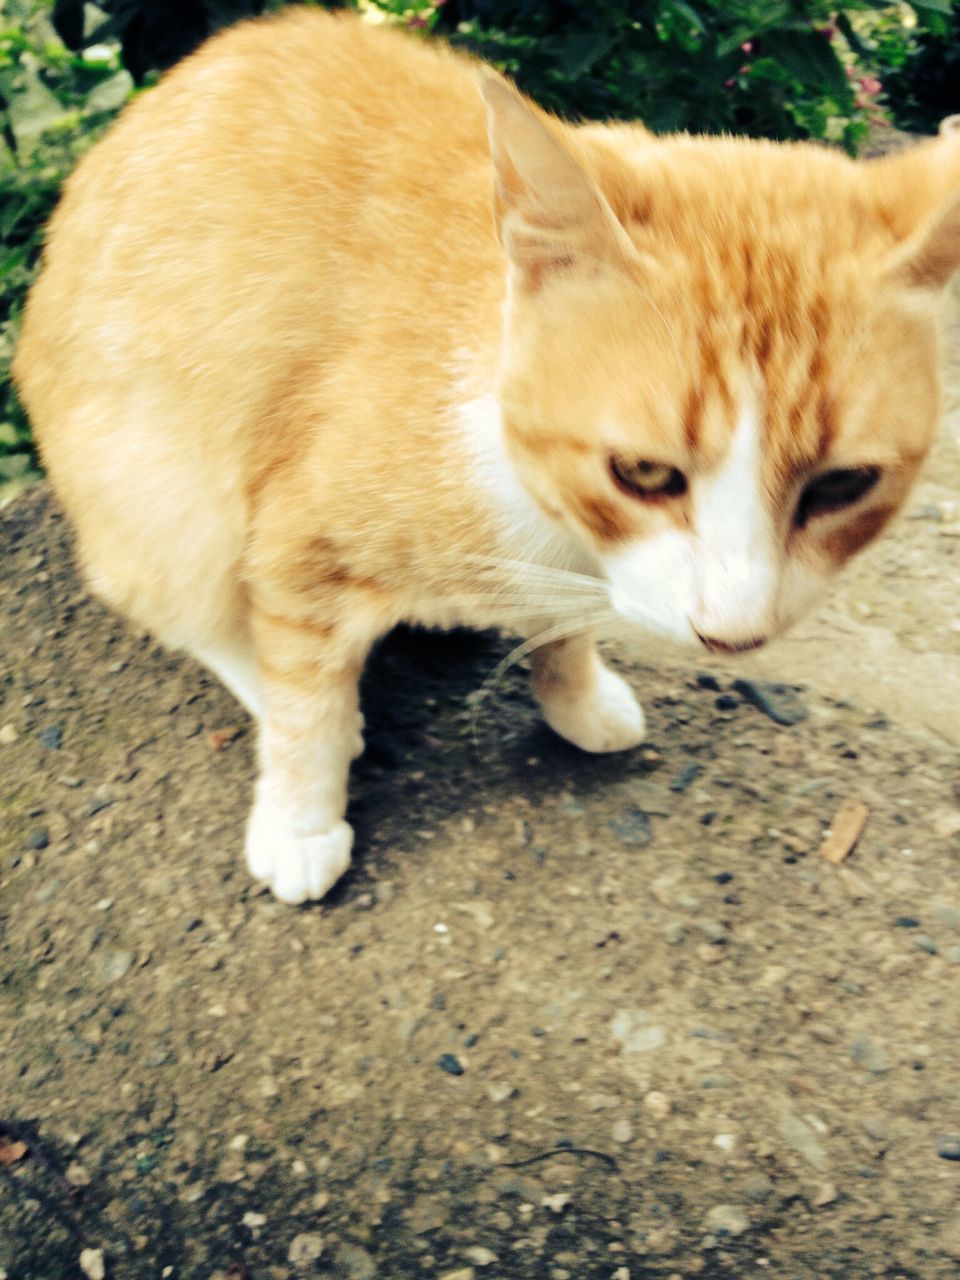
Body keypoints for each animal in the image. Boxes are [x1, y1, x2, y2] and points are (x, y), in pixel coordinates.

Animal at [13, 7, 960, 901]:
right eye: (644, 474)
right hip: (156, 495)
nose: (732, 637)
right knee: (199, 610)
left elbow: (565, 631)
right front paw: (300, 820)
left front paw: (576, 694)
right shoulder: (298, 545)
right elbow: (302, 706)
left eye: (843, 485)